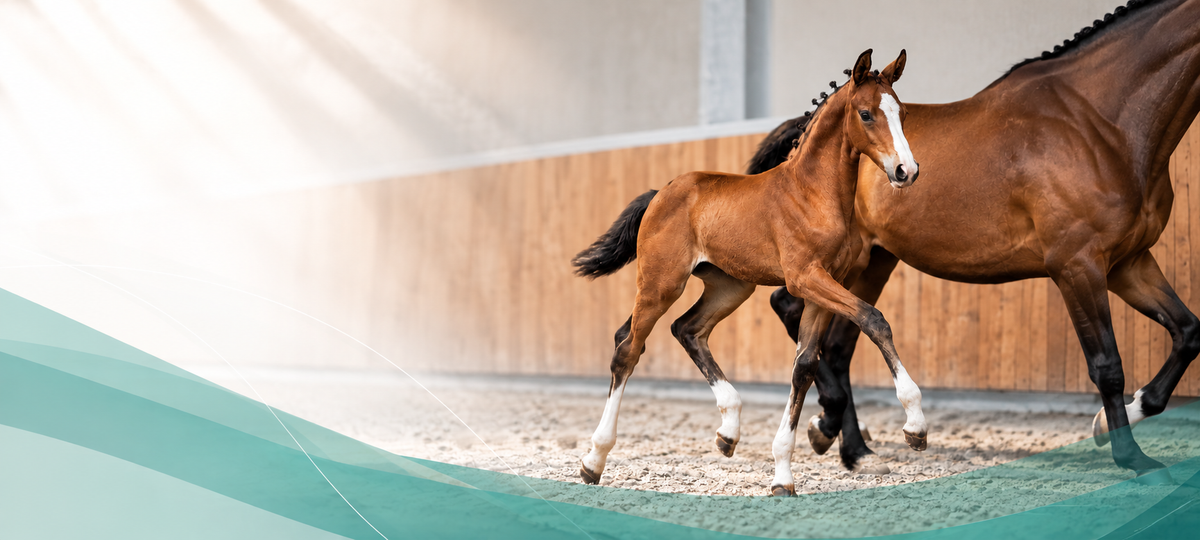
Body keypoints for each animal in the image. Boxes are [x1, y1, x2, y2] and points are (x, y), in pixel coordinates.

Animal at [571, 50, 922, 496]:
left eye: (903, 113)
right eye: (866, 114)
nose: (906, 171)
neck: (812, 194)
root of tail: (660, 192)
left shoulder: (825, 286)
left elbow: (804, 366)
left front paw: (783, 476)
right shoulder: (805, 278)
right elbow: (874, 319)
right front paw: (916, 426)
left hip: (730, 287)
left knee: (686, 330)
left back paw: (728, 431)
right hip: (661, 283)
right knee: (628, 349)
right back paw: (593, 461)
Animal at [744, 0, 1200, 479]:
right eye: (867, 114)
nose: (907, 170)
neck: (1099, 124)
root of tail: (801, 139)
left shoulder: (1129, 262)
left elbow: (1188, 332)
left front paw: (1119, 418)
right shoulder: (1078, 267)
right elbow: (1108, 366)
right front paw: (1131, 455)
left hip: (874, 262)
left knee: (837, 345)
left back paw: (852, 446)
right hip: (843, 262)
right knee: (792, 309)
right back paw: (831, 424)